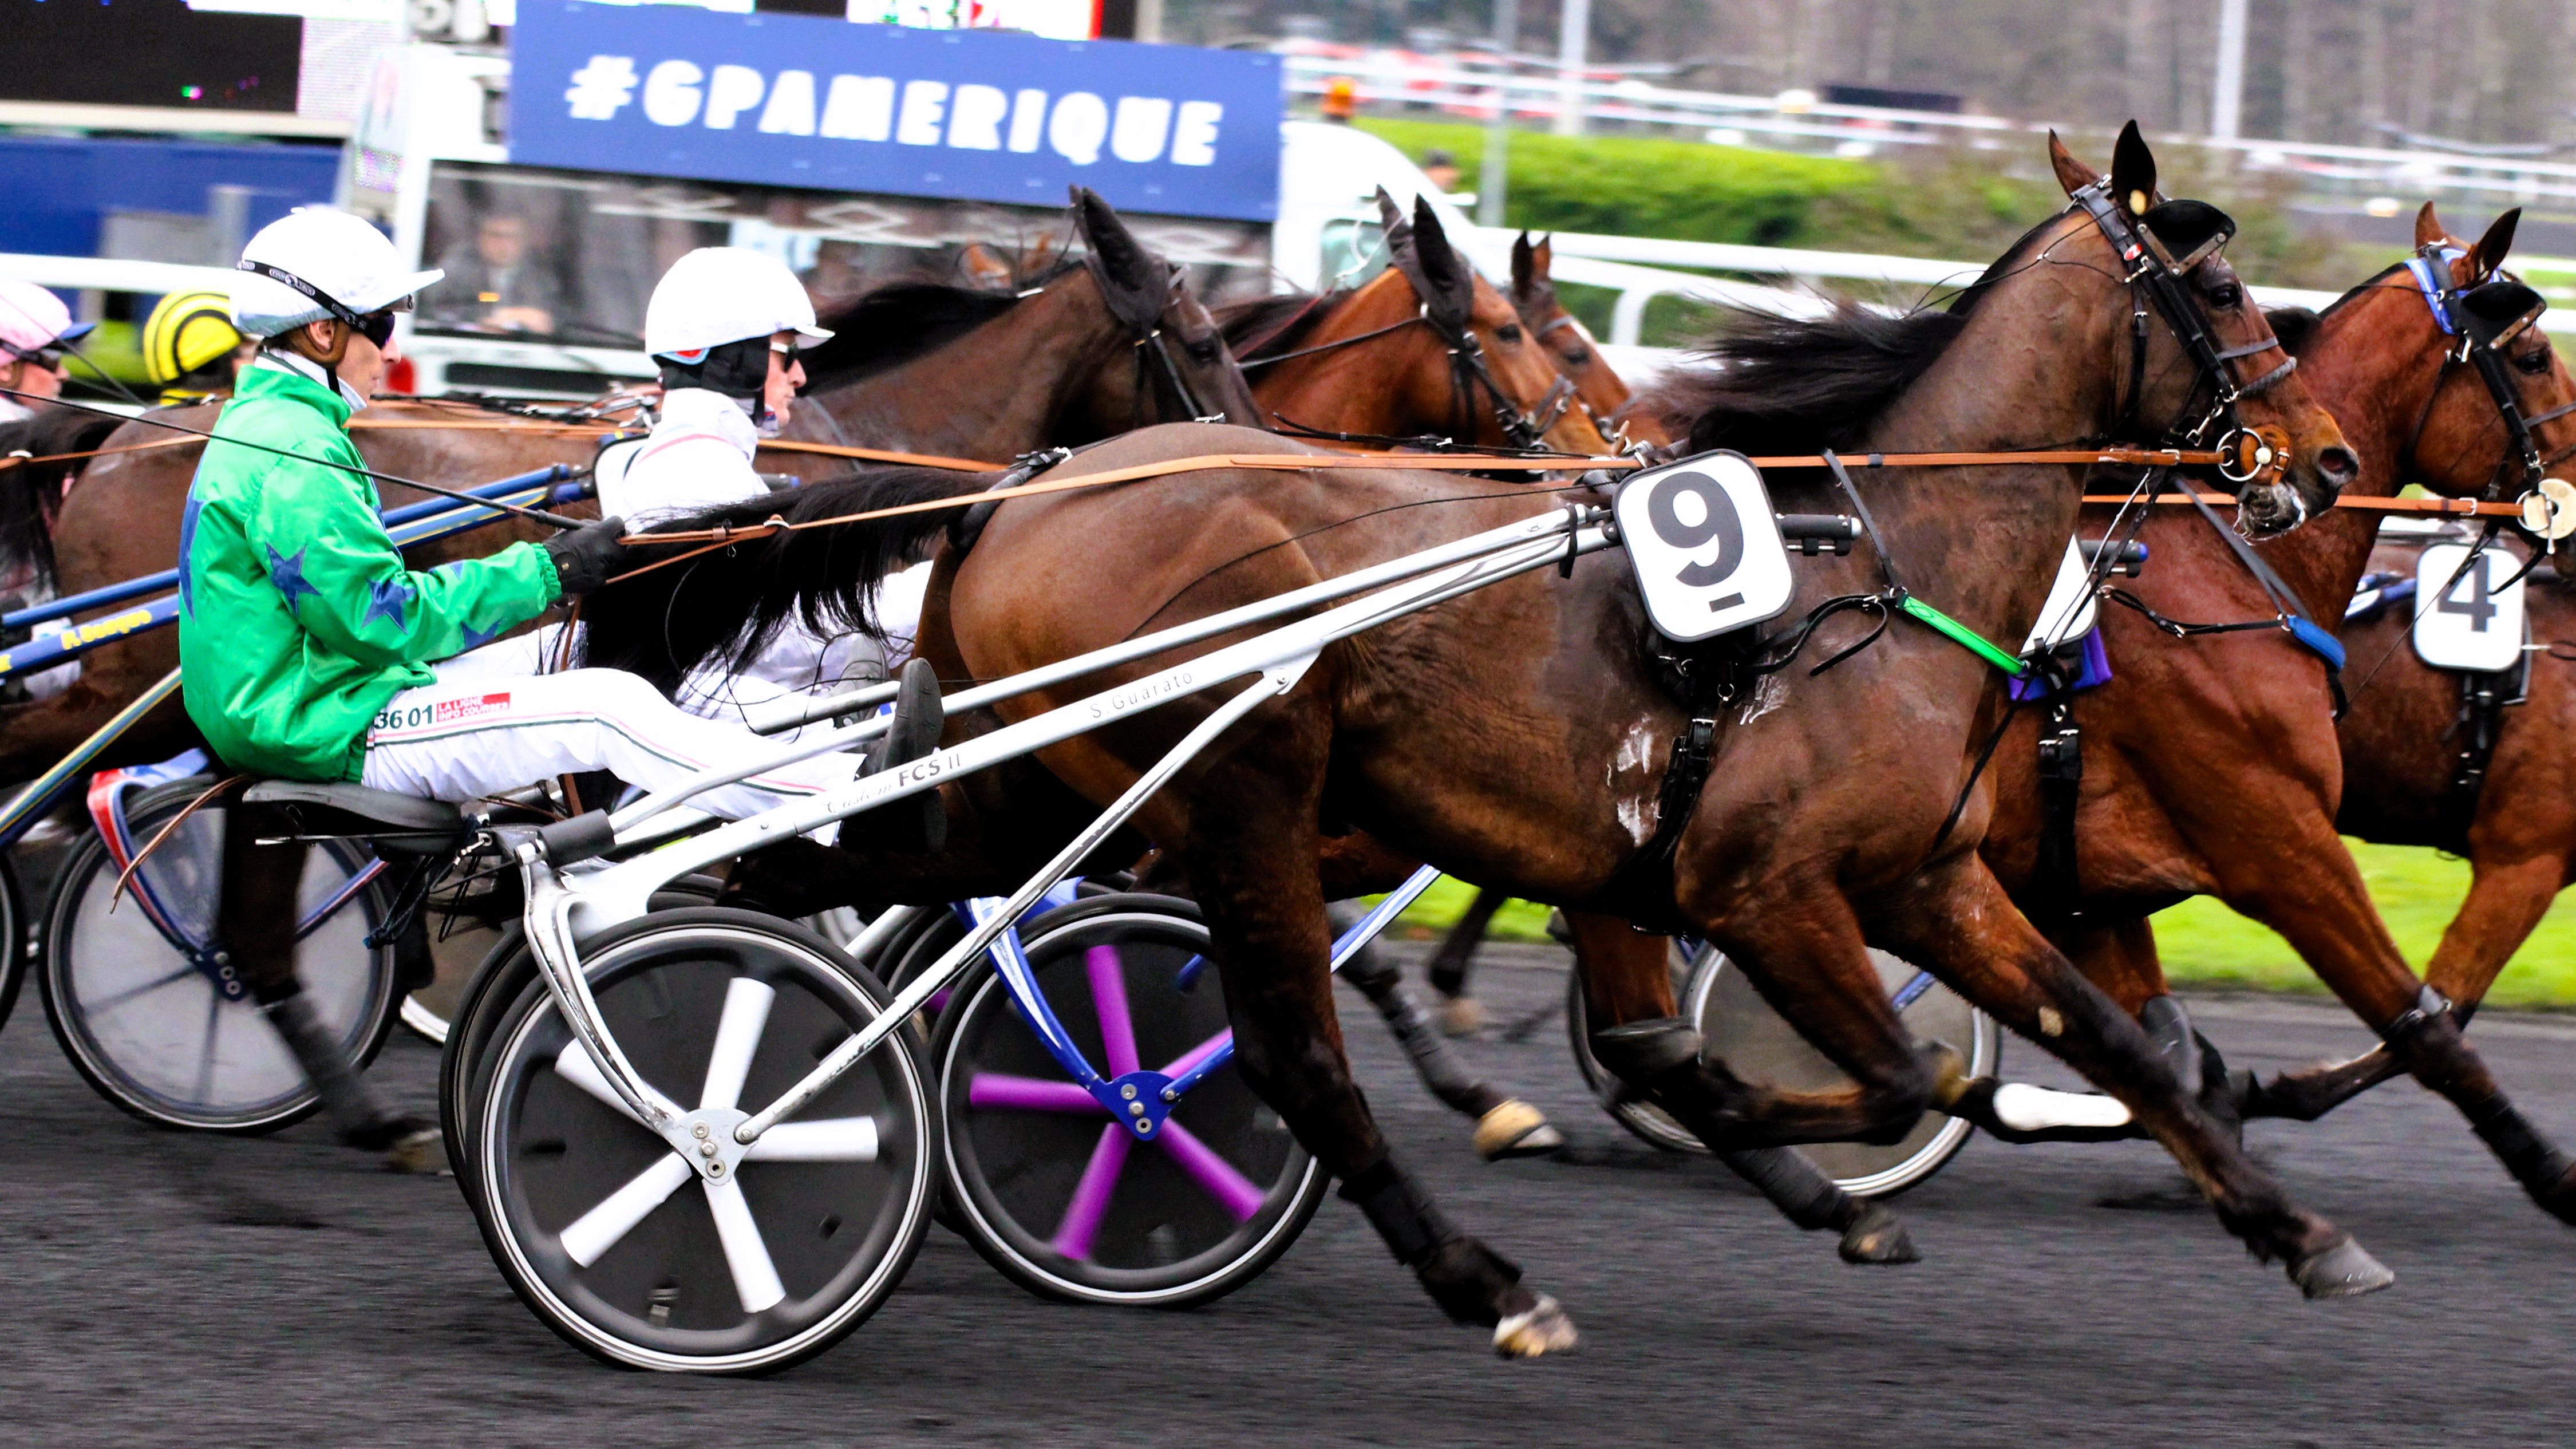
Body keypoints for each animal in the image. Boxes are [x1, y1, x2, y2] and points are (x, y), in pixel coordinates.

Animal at [598, 129, 2370, 1351]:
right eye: (2221, 291)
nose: (2326, 457)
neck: (1873, 568)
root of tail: (1017, 494)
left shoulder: (1924, 881)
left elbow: (2113, 1041)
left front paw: (2297, 1232)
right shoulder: (1757, 887)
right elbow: (1887, 1073)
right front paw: (1773, 1140)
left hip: (1029, 784)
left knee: (810, 875)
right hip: (1236, 790)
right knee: (1290, 1057)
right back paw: (1478, 1276)